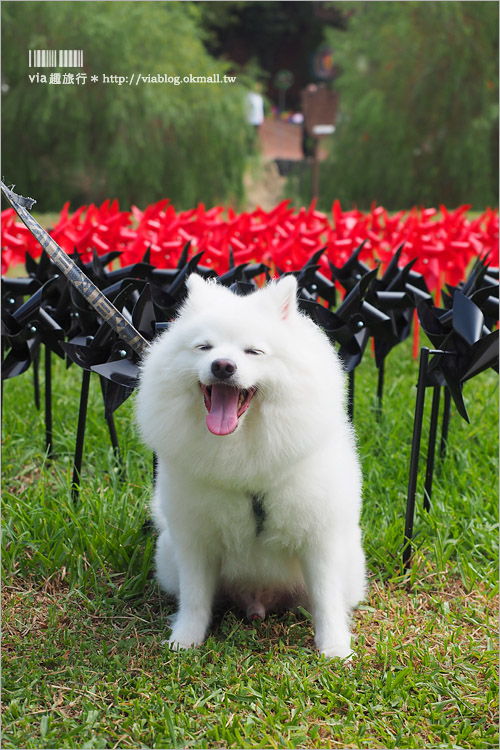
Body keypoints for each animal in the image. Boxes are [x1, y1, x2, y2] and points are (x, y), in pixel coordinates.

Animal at [135, 274, 366, 656]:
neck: (241, 452)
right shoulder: (195, 539)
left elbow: (326, 599)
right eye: (204, 347)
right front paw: (185, 640)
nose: (222, 366)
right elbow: (195, 598)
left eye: (253, 352)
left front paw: (334, 649)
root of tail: (258, 602)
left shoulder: (320, 537)